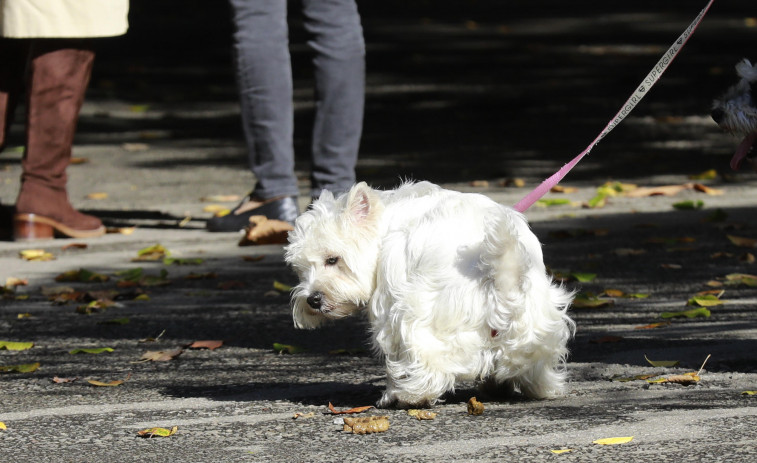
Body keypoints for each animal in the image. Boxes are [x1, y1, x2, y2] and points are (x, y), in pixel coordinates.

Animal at [284, 182, 572, 410]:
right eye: (299, 269)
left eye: (333, 259)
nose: (313, 300)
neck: (385, 224)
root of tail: (498, 277)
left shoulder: (389, 307)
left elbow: (395, 359)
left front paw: (391, 391)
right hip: (537, 325)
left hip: (417, 313)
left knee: (429, 364)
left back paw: (408, 396)